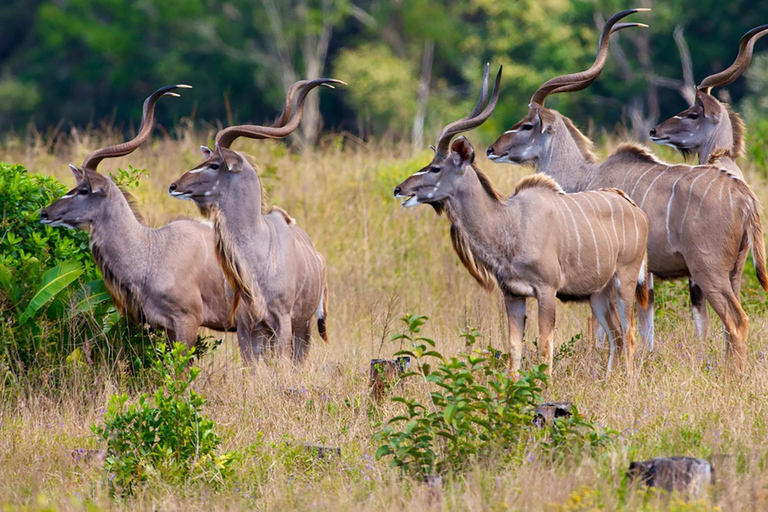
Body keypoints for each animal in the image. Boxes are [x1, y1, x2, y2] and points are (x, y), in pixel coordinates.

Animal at [396, 66, 648, 374]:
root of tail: (635, 209)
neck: (510, 223)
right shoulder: (513, 295)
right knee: (615, 335)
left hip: (625, 280)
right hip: (599, 293)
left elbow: (544, 347)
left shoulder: (546, 290)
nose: (399, 189)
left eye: (435, 168)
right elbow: (515, 349)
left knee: (630, 334)